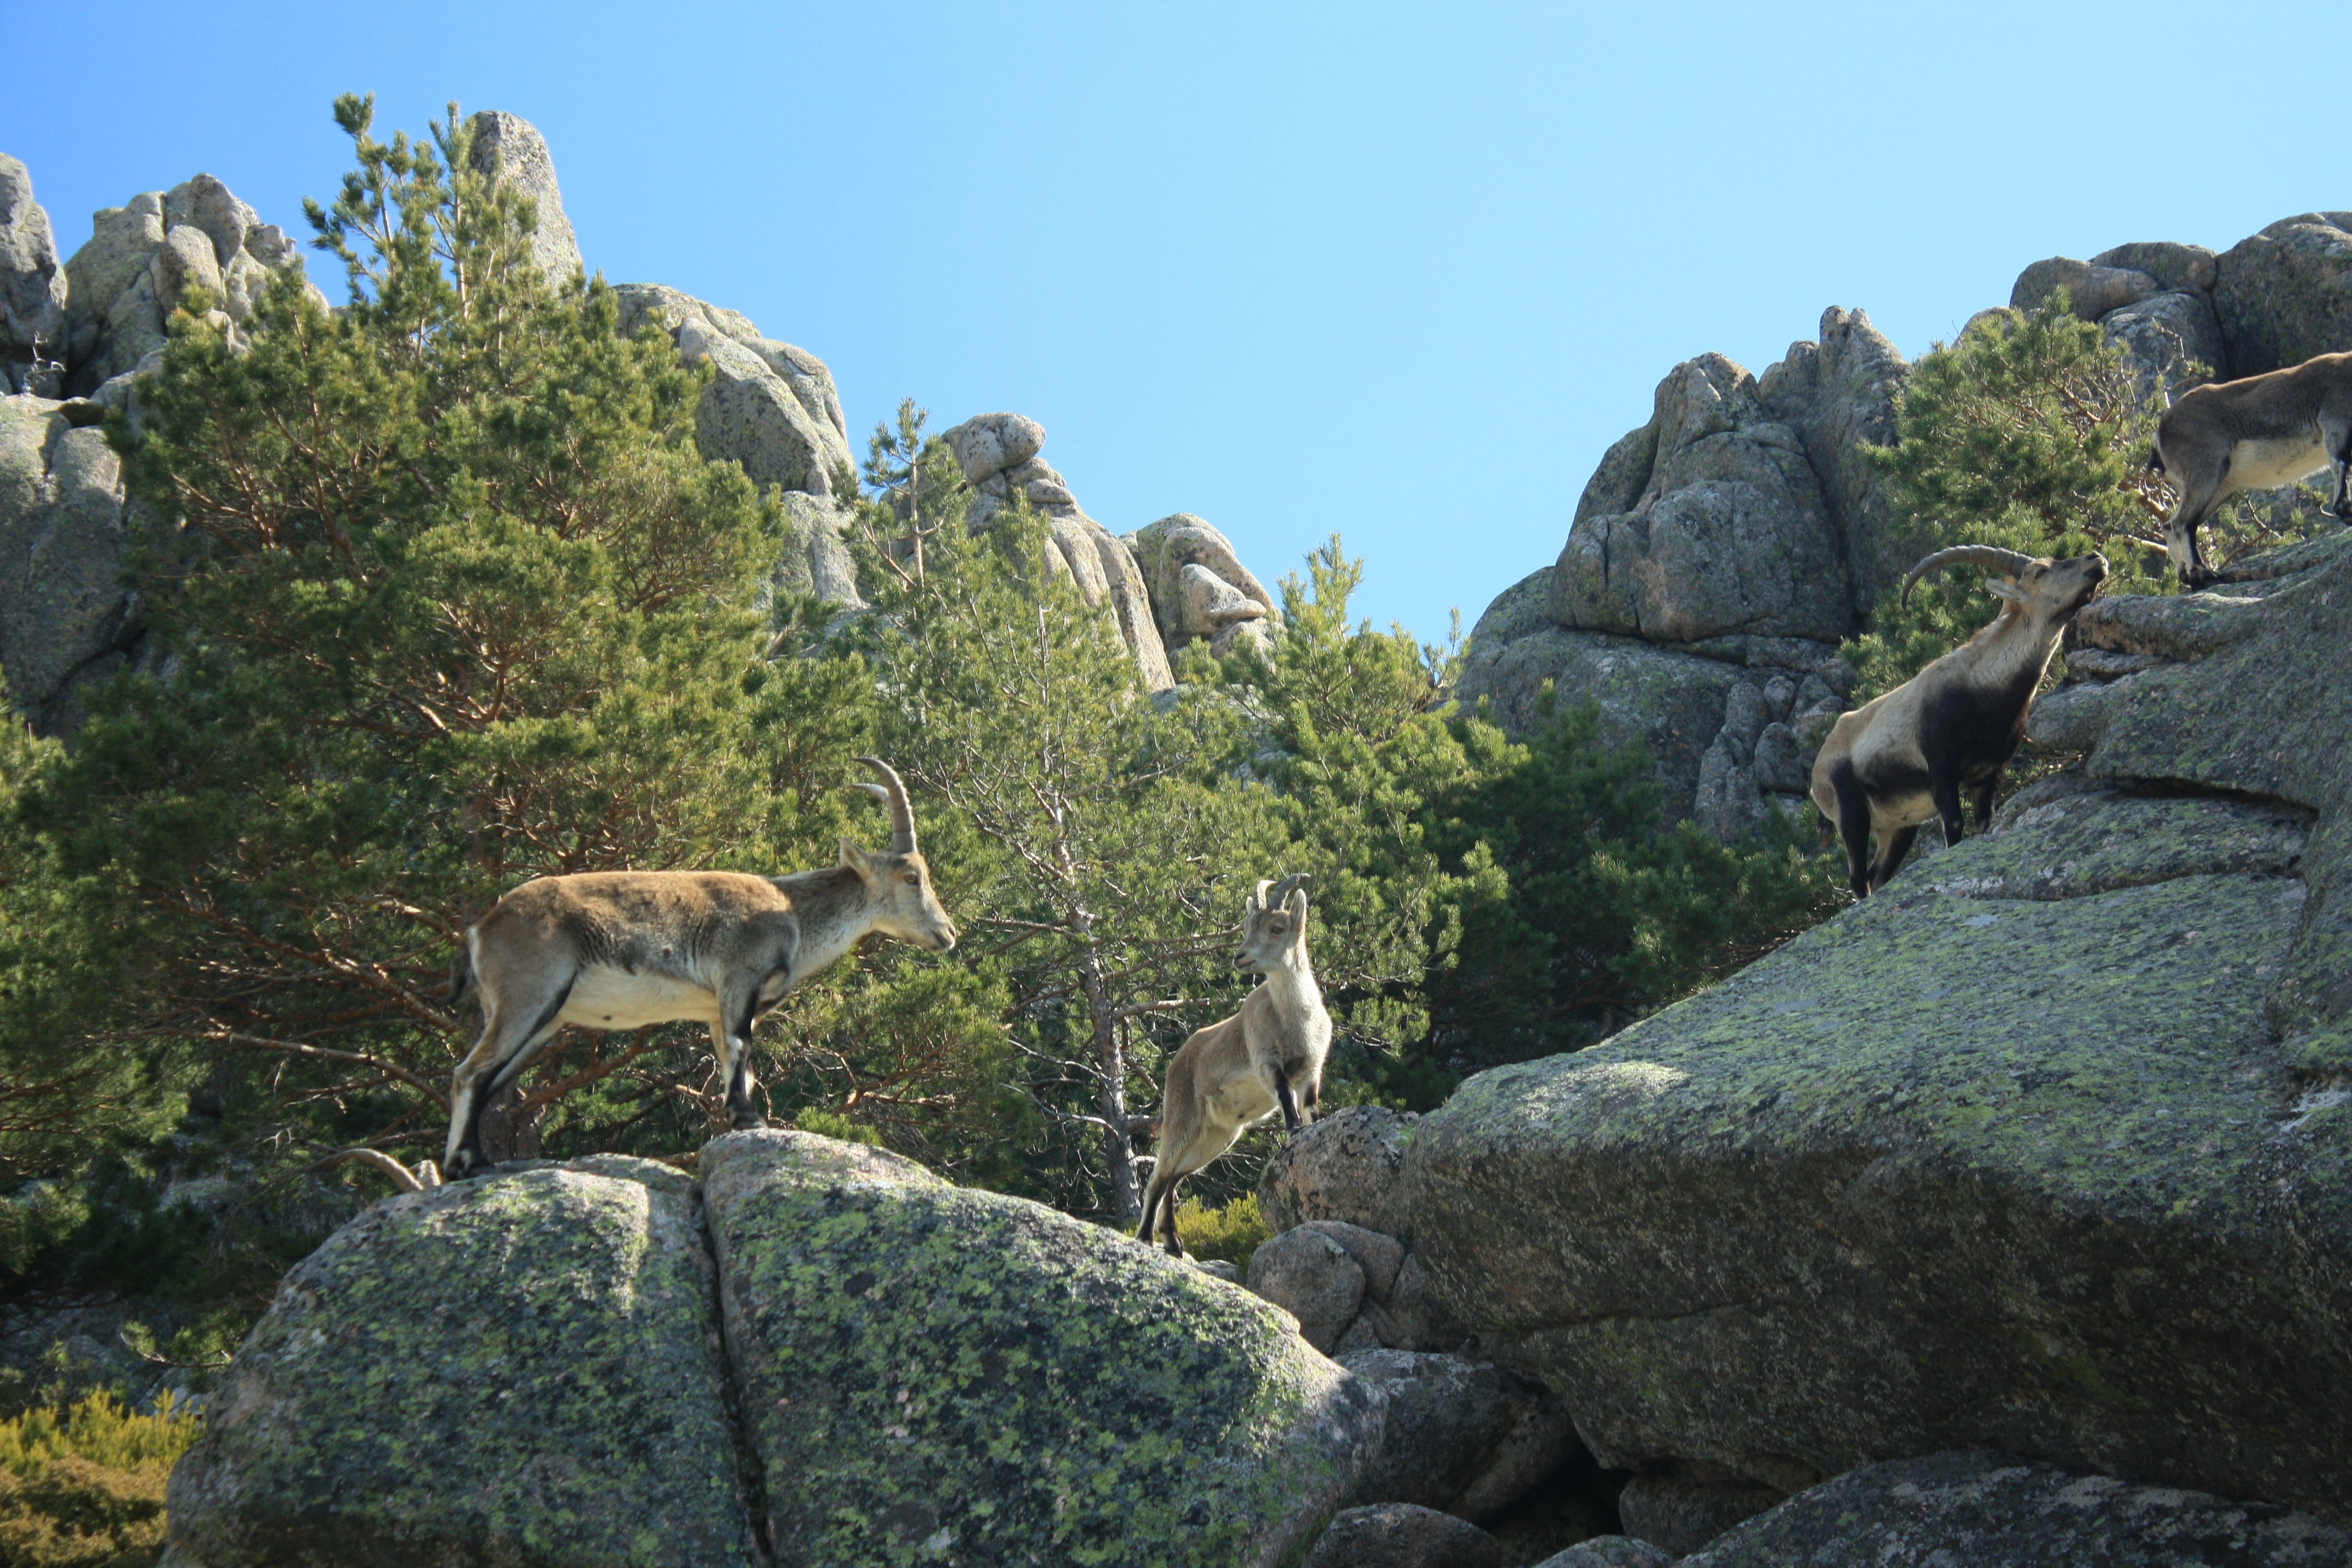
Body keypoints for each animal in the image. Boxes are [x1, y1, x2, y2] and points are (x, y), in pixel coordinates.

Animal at [441, 758, 956, 1178]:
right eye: (912, 877)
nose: (948, 933)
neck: (793, 914)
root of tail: (482, 929)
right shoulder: (739, 978)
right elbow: (741, 1049)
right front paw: (749, 1118)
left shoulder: (717, 1008)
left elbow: (735, 1062)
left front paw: (737, 1120)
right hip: (528, 995)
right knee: (469, 1072)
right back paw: (467, 1162)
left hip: (543, 1019)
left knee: (489, 1080)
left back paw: (464, 1163)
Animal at [1137, 875, 1329, 1257]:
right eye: (1248, 926)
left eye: (1277, 927)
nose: (1240, 957)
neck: (1294, 1020)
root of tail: (1178, 1060)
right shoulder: (1268, 1062)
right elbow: (1286, 1100)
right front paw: (1293, 1133)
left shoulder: (1311, 1070)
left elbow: (1311, 1107)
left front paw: (1310, 1130)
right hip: (1183, 1119)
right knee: (1159, 1177)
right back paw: (1146, 1238)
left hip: (1217, 1135)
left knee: (1175, 1179)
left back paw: (1174, 1243)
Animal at [1810, 545, 2107, 899]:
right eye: (2040, 571)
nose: (2095, 559)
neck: (1984, 686)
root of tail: (1818, 768)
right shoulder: (1941, 769)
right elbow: (1954, 826)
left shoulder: (1989, 774)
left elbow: (1984, 823)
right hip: (1850, 811)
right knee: (1858, 878)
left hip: (1899, 825)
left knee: (1879, 875)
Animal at [2152, 350, 2352, 585]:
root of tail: (2161, 431)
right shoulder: (2336, 423)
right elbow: (2342, 470)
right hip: (2204, 475)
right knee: (2180, 524)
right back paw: (2200, 573)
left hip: (2222, 487)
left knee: (2173, 525)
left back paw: (2188, 575)